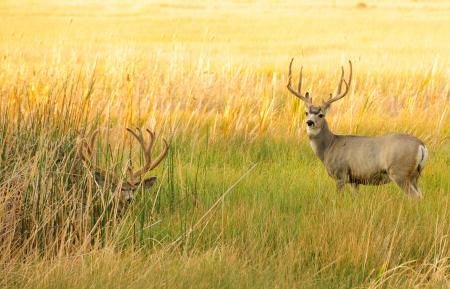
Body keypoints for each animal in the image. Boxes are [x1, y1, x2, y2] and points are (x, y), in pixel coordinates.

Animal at [286, 59, 428, 197]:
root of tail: (421, 145)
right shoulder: (355, 180)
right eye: (306, 113)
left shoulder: (340, 174)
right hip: (414, 175)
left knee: (415, 197)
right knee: (421, 195)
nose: (309, 122)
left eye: (321, 115)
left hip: (400, 172)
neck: (329, 146)